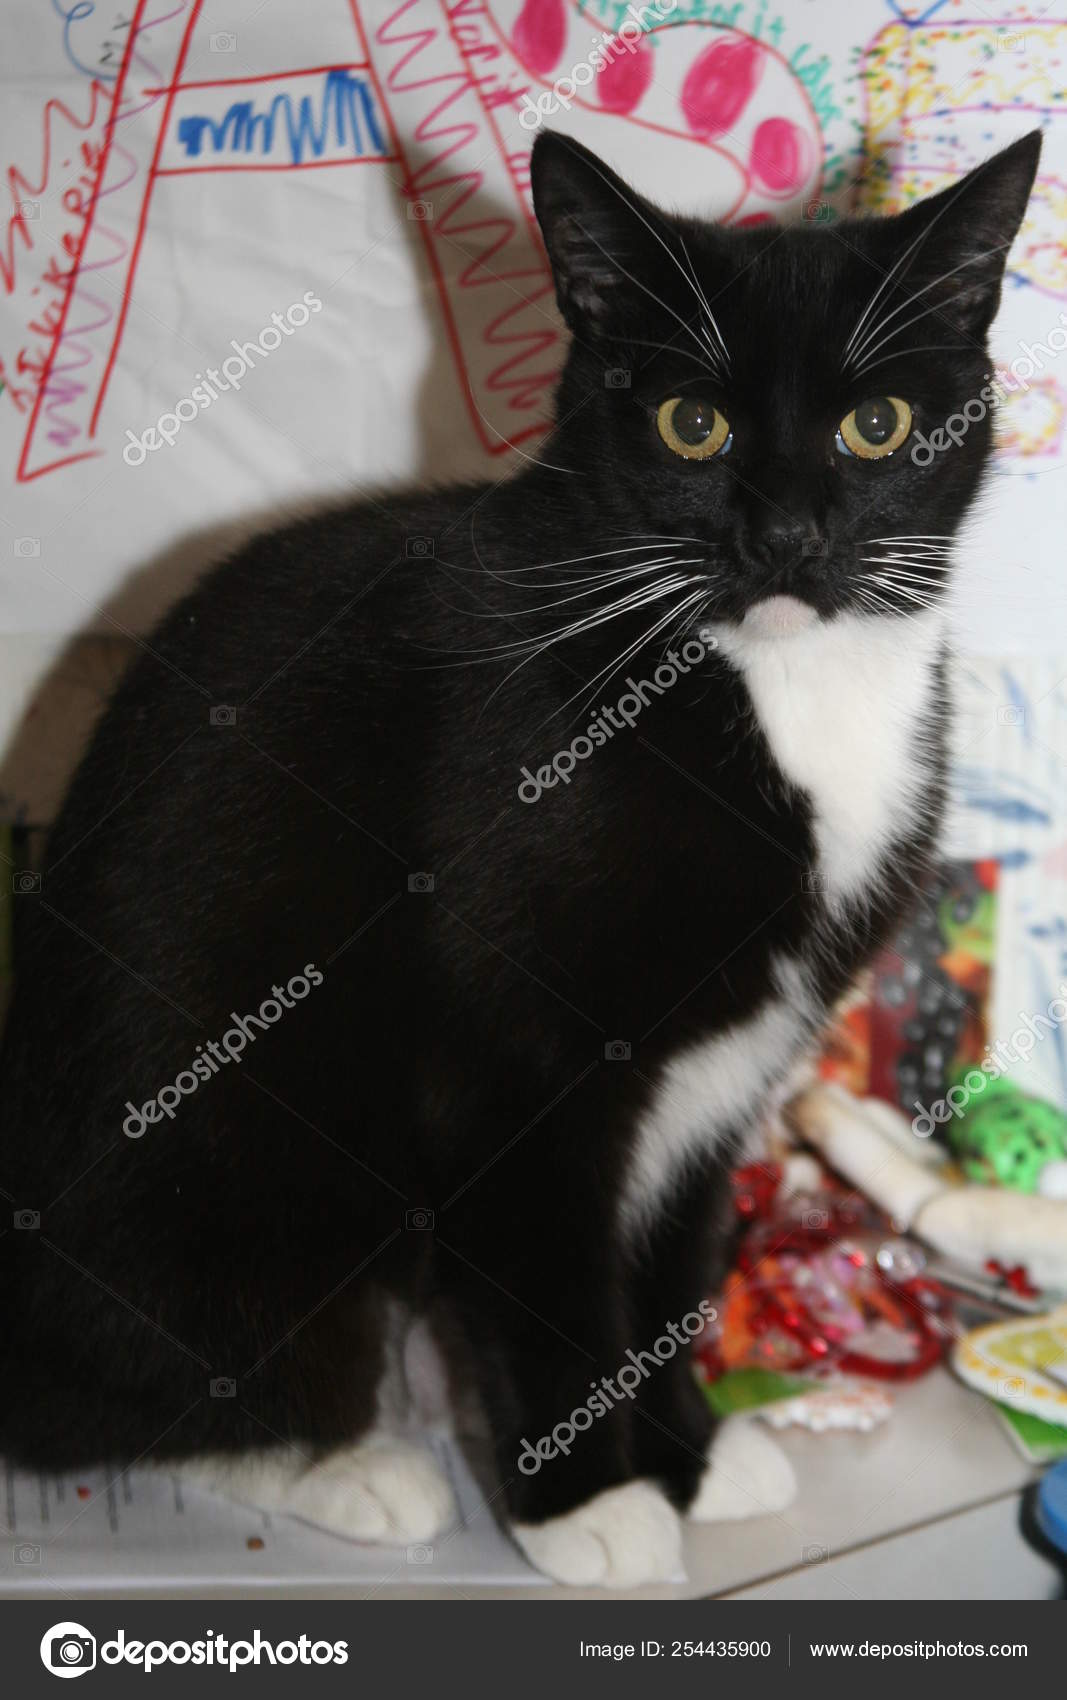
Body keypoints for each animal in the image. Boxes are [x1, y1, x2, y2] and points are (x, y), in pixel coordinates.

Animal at [0, 129, 1039, 1577]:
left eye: (875, 424)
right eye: (689, 423)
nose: (784, 536)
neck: (764, 679)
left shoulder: (728, 1061)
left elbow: (673, 1254)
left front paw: (688, 1459)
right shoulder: (505, 1058)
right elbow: (547, 1269)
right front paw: (588, 1506)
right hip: (211, 1165)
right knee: (110, 1392)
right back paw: (341, 1461)